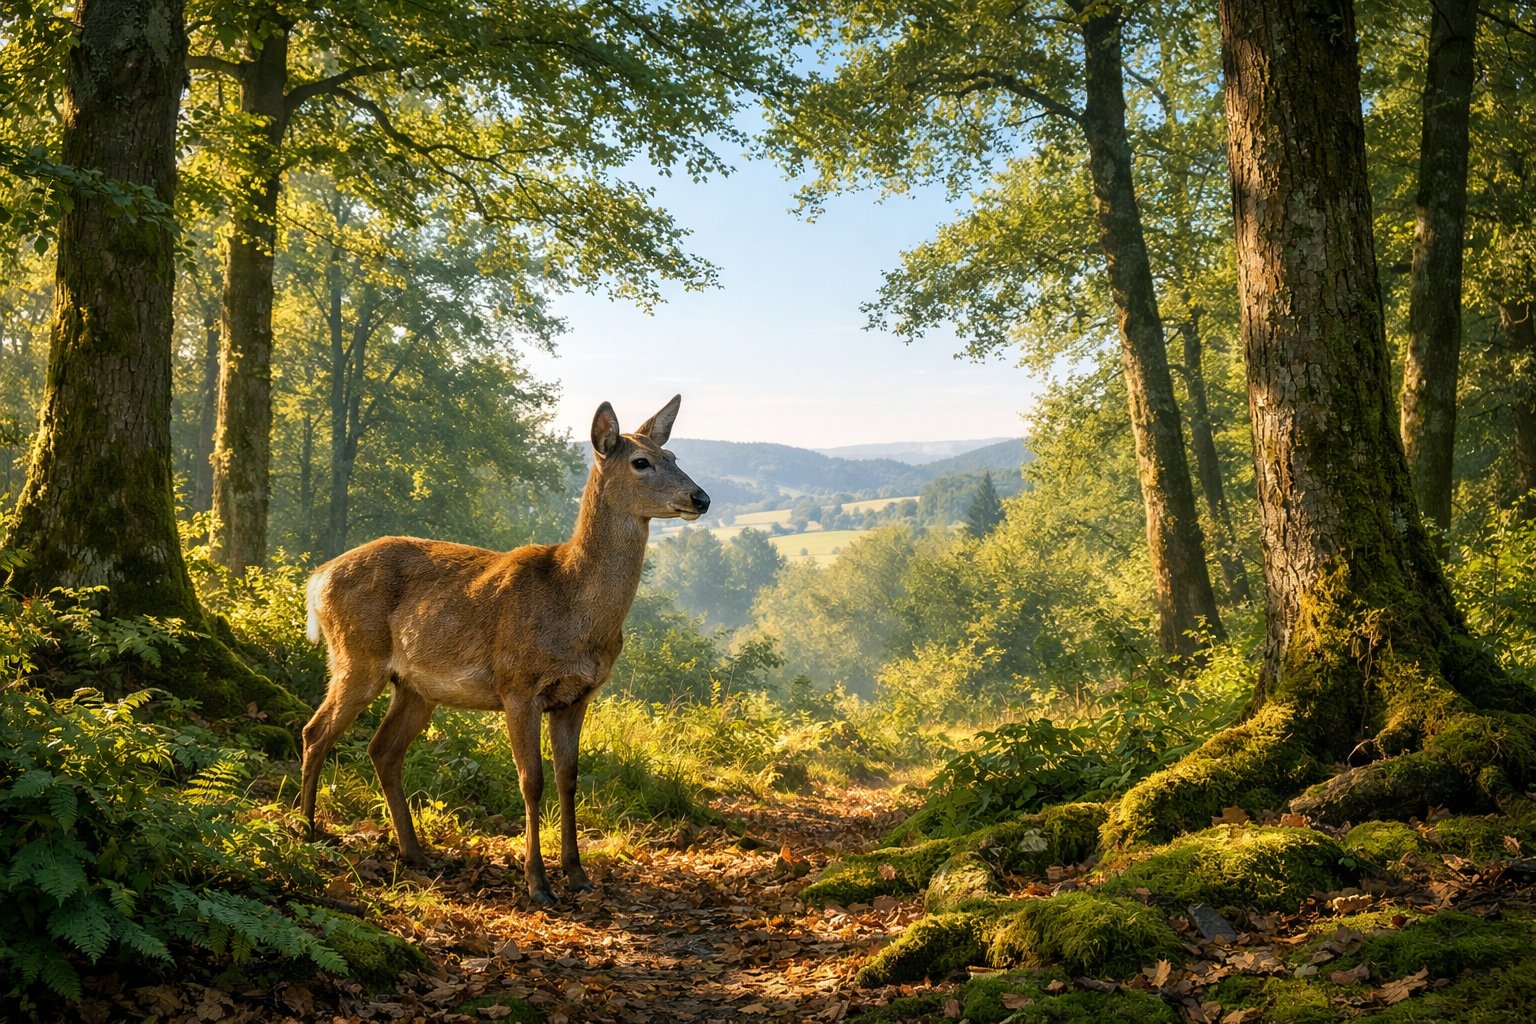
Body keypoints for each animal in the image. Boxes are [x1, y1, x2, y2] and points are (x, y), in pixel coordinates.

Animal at [298, 395, 709, 904]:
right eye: (641, 462)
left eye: (673, 456)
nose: (701, 498)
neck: (573, 607)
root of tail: (317, 579)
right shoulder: (518, 685)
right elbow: (531, 780)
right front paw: (537, 884)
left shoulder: (577, 696)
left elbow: (569, 779)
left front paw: (577, 874)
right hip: (356, 655)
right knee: (315, 732)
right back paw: (306, 829)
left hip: (415, 687)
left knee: (382, 750)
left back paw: (415, 852)